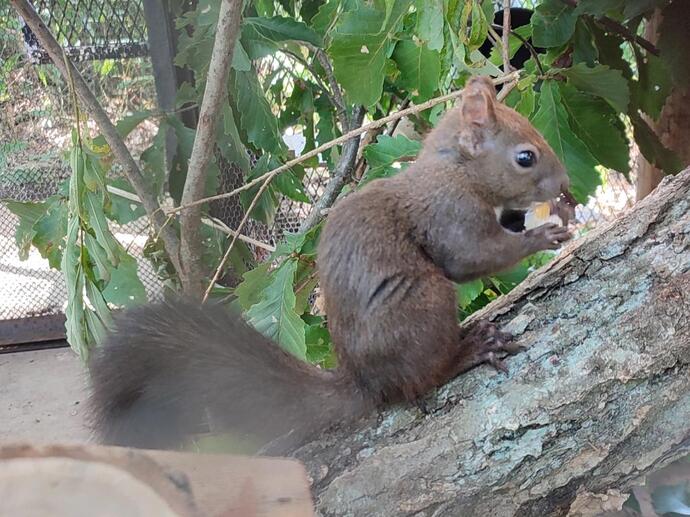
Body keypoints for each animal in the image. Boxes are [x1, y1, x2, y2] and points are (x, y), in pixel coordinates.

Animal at [87, 75, 568, 448]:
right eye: (525, 157)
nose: (564, 184)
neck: (456, 169)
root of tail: (366, 384)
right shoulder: (449, 212)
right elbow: (472, 257)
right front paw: (544, 234)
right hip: (423, 304)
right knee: (423, 378)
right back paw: (468, 350)